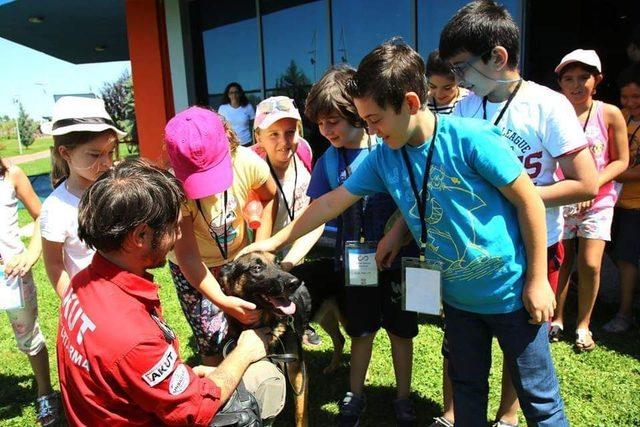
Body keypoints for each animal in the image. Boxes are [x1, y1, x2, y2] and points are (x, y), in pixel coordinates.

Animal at [219, 252, 312, 426]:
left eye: (278, 263)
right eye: (256, 267)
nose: (294, 283)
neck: (267, 325)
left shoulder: (297, 373)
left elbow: (300, 413)